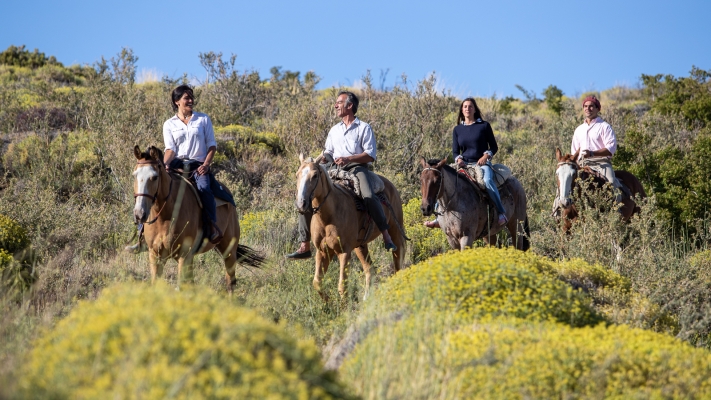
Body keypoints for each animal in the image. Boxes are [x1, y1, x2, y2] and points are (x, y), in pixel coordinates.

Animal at [131, 145, 264, 292]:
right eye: (134, 175)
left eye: (154, 177)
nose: (139, 214)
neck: (165, 217)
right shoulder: (155, 255)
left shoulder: (184, 255)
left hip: (229, 249)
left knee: (231, 281)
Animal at [294, 153, 406, 300]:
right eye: (297, 175)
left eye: (315, 175)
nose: (301, 204)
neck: (328, 217)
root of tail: (389, 185)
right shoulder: (322, 251)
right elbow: (317, 283)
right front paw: (328, 303)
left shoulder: (344, 252)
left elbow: (342, 287)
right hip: (360, 246)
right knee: (369, 269)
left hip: (395, 231)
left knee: (397, 262)